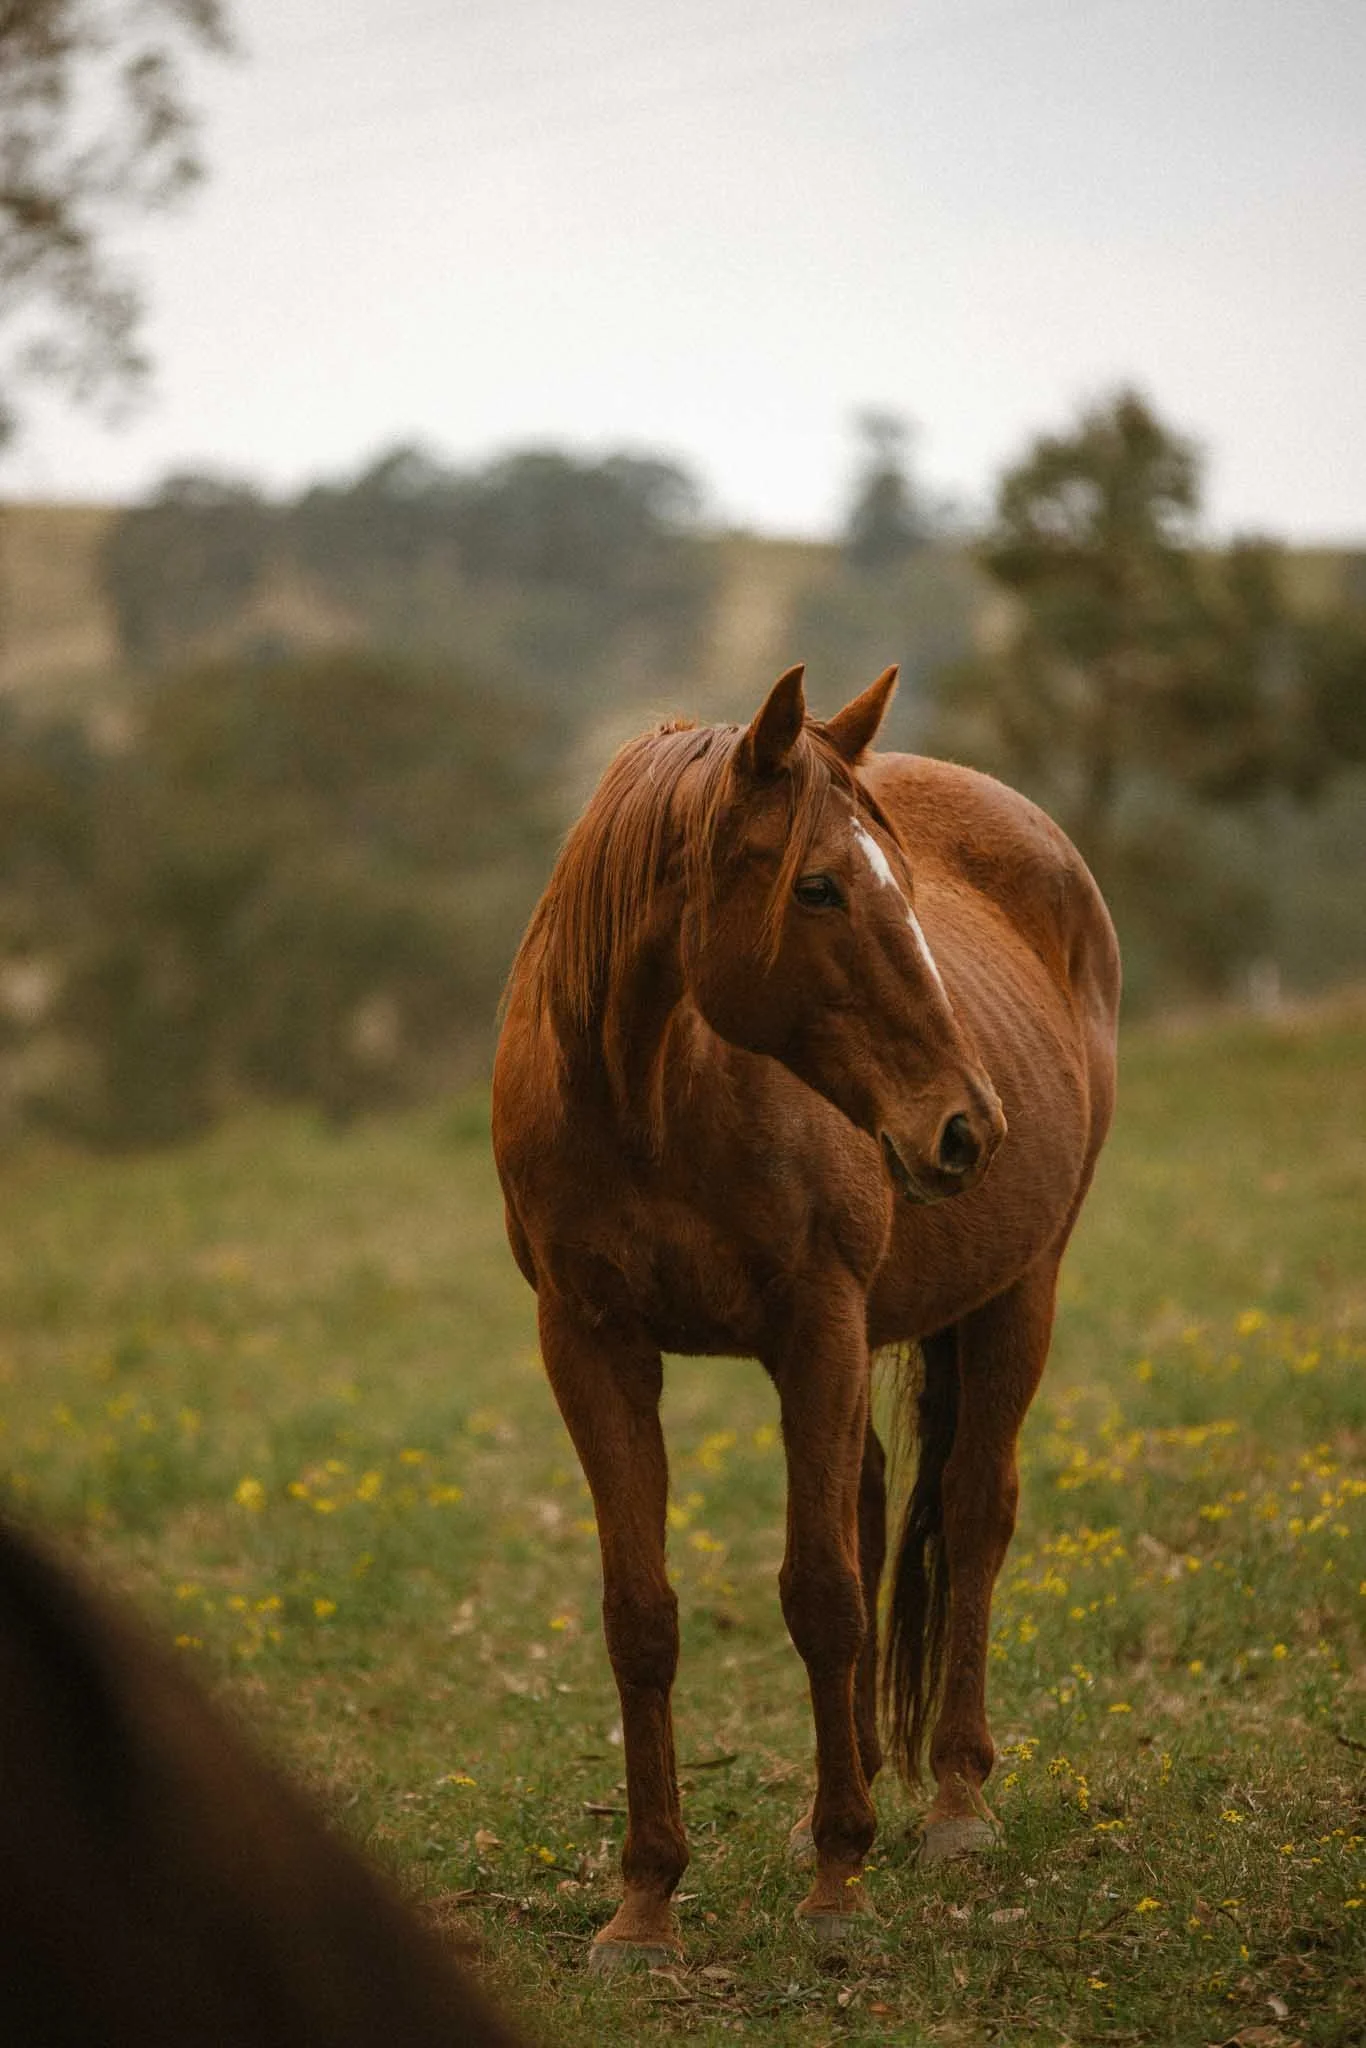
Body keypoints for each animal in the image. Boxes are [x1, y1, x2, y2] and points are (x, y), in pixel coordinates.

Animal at [491, 663, 1120, 1968]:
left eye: (906, 888)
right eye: (818, 885)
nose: (966, 1124)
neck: (648, 1093)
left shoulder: (816, 1324)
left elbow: (822, 1593)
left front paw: (839, 1885)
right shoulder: (592, 1343)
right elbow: (642, 1615)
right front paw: (644, 1900)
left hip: (1017, 1292)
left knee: (973, 1512)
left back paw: (950, 1802)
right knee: (878, 1500)